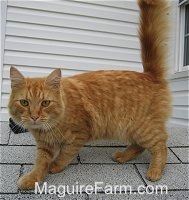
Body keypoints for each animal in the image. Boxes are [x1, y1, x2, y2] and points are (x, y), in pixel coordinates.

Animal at [8, 0, 171, 190]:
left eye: (45, 103)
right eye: (25, 103)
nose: (34, 116)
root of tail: (149, 74)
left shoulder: (80, 134)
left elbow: (65, 154)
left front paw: (56, 166)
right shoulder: (44, 145)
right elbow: (40, 163)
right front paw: (33, 178)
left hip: (142, 128)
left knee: (161, 144)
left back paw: (155, 171)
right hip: (132, 129)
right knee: (140, 146)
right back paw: (123, 156)